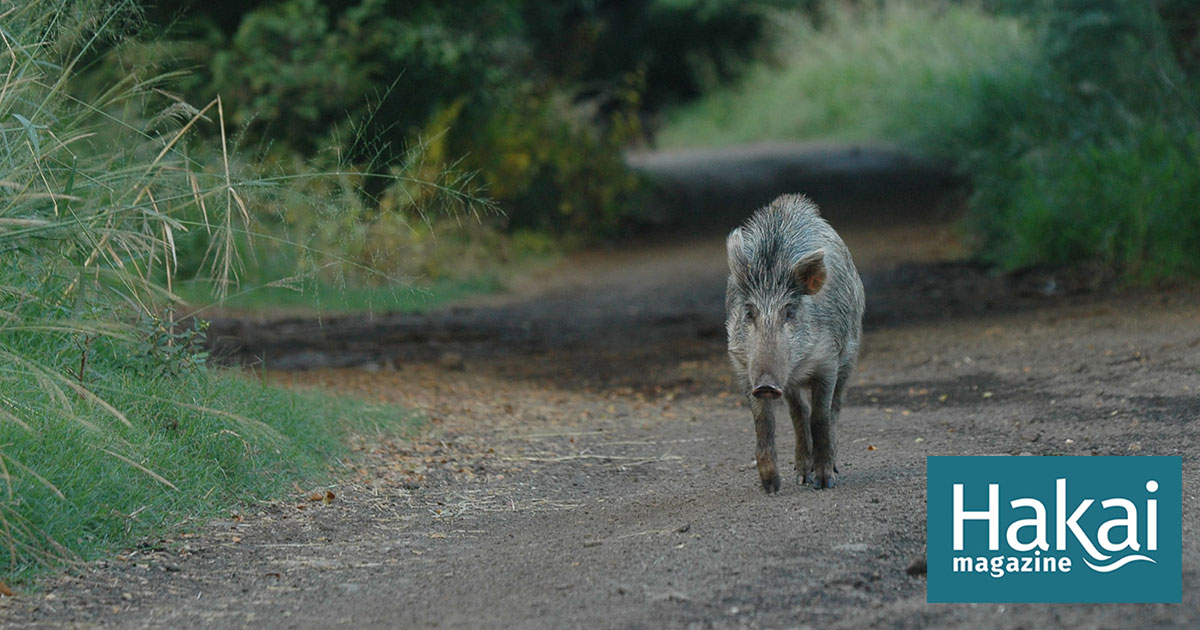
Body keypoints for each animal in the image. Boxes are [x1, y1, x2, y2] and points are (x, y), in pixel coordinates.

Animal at [725, 194, 864, 493]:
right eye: (749, 312)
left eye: (789, 312)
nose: (766, 385)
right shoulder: (742, 367)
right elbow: (764, 422)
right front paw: (771, 486)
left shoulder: (828, 361)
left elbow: (821, 417)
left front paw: (824, 483)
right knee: (797, 411)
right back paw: (801, 475)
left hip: (850, 356)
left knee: (834, 407)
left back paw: (824, 471)